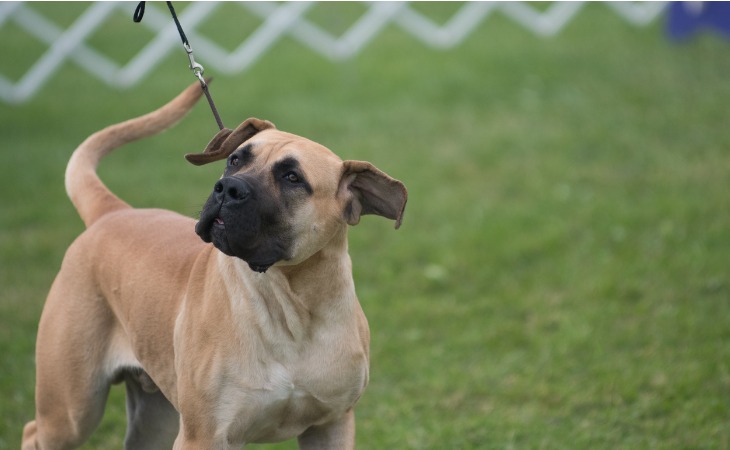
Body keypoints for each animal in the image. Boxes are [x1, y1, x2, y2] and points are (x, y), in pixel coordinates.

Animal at [22, 82, 406, 448]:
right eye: (235, 160)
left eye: (292, 178)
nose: (228, 188)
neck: (292, 308)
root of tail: (112, 212)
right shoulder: (204, 435)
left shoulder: (331, 424)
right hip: (72, 408)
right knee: (34, 431)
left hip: (155, 417)